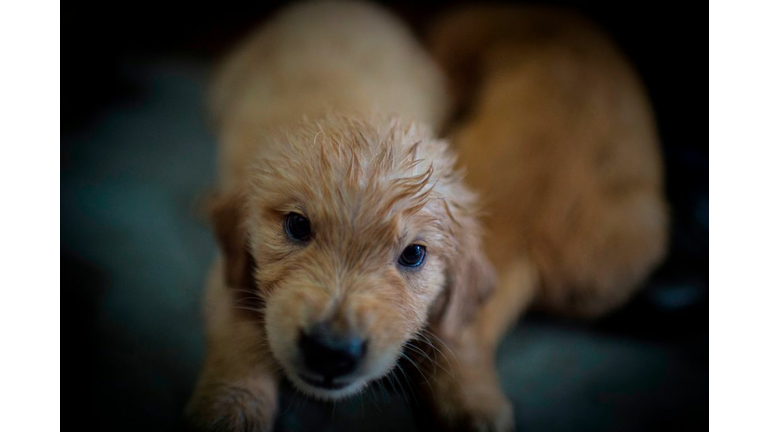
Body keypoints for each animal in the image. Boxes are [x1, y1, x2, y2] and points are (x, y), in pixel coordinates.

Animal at [184, 1, 498, 430]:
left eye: (413, 254)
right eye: (297, 226)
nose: (330, 351)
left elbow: (458, 333)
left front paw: (475, 400)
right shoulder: (228, 275)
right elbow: (240, 335)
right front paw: (232, 408)